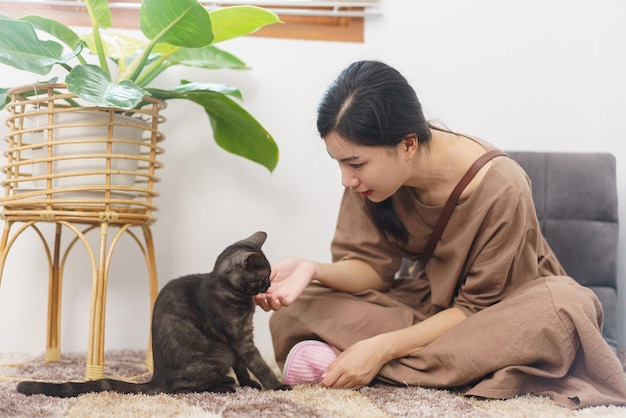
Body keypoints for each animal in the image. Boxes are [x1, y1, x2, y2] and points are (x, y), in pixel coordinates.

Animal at [17, 232, 290, 398]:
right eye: (264, 276)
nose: (269, 284)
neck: (227, 289)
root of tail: (157, 376)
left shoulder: (239, 340)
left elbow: (243, 367)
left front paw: (249, 383)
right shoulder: (239, 339)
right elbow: (258, 365)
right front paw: (277, 386)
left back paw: (228, 382)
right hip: (218, 353)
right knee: (177, 389)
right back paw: (223, 386)